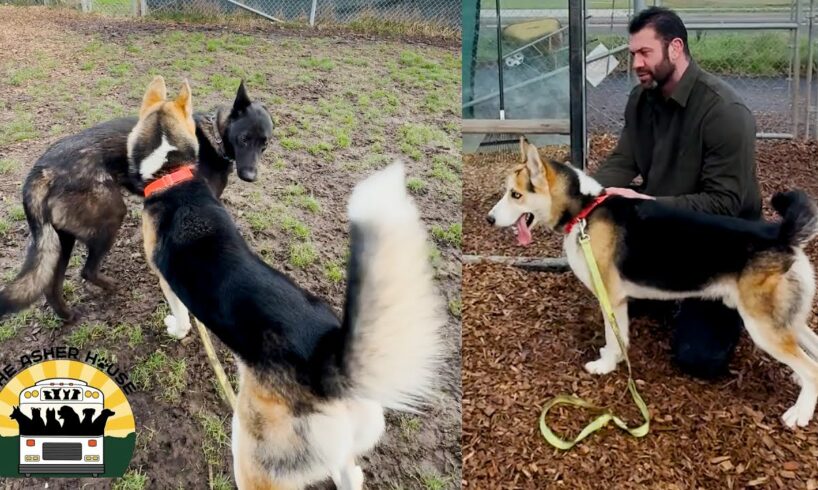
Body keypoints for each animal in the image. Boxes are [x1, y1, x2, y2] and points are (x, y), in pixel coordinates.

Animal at [0, 81, 274, 322]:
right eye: (244, 138)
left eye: (265, 143)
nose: (250, 176)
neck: (216, 135)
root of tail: (42, 170)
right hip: (111, 218)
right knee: (86, 270)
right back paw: (111, 287)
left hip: (62, 240)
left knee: (50, 285)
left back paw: (67, 316)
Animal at [130, 75, 444, 486]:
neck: (172, 174)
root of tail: (330, 361)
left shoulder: (168, 281)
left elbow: (180, 316)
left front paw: (176, 329)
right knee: (348, 475)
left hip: (251, 453)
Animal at [488, 138, 816, 428]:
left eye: (515, 195)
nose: (489, 220)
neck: (585, 209)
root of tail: (782, 237)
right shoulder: (618, 302)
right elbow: (618, 339)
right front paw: (612, 360)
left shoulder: (611, 298)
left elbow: (613, 337)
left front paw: (604, 367)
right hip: (786, 322)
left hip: (763, 328)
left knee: (811, 369)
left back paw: (799, 413)